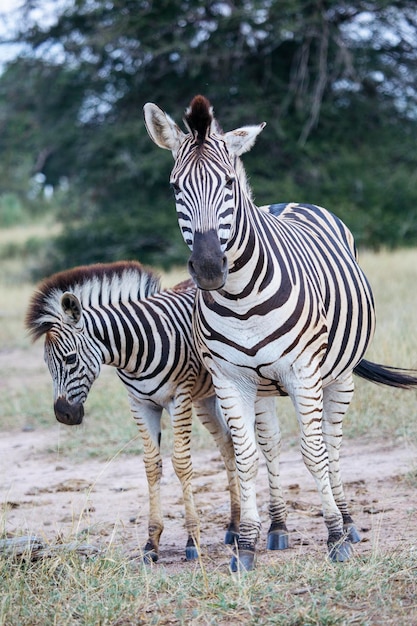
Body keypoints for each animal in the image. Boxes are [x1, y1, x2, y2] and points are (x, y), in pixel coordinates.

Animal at [25, 260, 244, 560]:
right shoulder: (140, 404)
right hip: (206, 399)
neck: (135, 350)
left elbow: (181, 463)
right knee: (227, 444)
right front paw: (152, 543)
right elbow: (151, 465)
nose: (63, 415)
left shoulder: (179, 398)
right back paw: (234, 525)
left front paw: (192, 540)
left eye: (70, 359)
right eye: (47, 365)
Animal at [144, 94, 417, 572]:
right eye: (176, 188)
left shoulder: (303, 372)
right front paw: (246, 546)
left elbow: (313, 451)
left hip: (337, 375)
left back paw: (348, 522)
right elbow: (247, 457)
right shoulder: (231, 380)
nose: (210, 269)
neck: (241, 298)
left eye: (229, 184)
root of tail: (288, 203)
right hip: (264, 388)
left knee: (331, 442)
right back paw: (277, 527)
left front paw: (335, 538)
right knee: (270, 445)